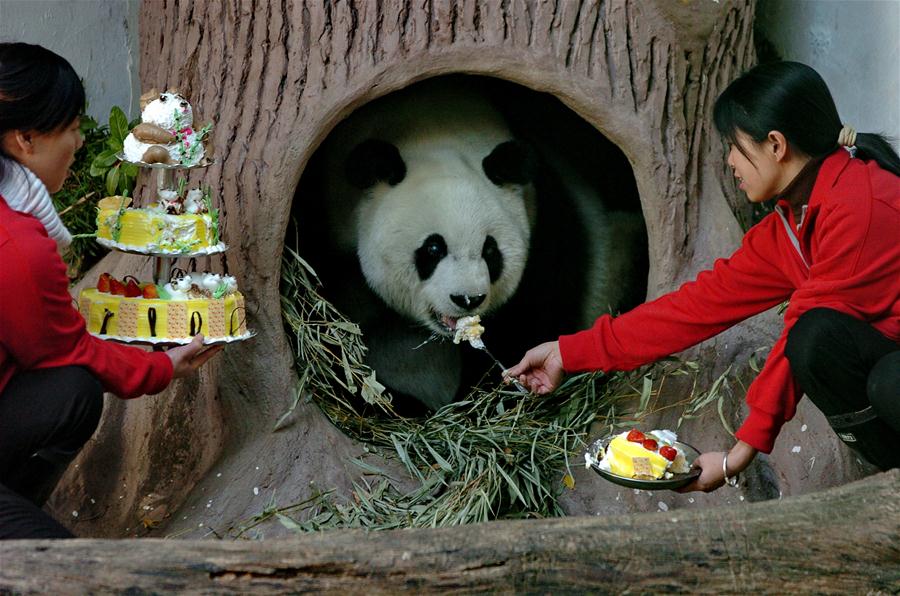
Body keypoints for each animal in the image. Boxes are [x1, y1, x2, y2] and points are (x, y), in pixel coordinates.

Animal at [300, 78, 643, 413]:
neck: (429, 129)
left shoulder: (543, 220)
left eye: (490, 251)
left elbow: (530, 316)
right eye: (433, 249)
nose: (468, 299)